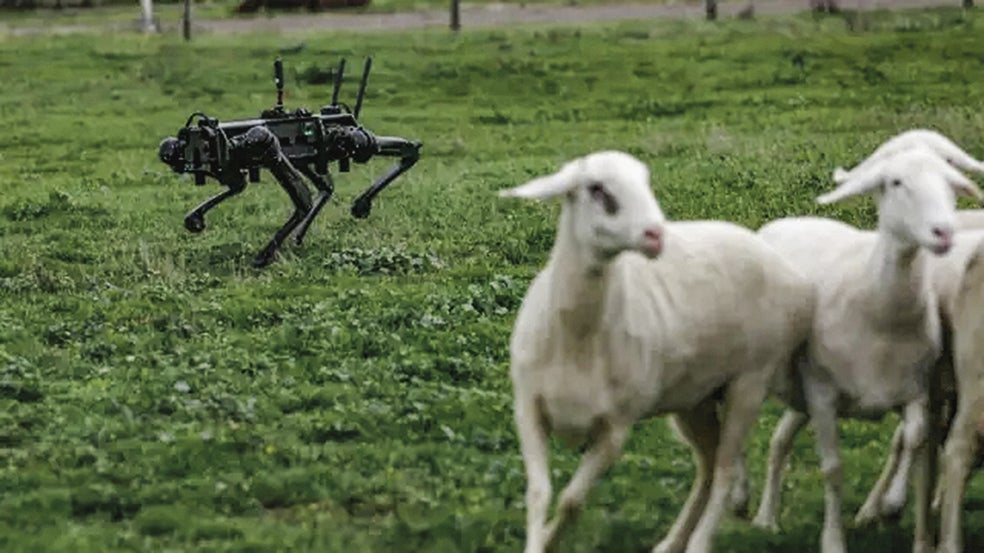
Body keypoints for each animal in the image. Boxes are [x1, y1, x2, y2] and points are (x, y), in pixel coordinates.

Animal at [497, 150, 815, 553]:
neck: (578, 340)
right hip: (696, 397)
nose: (656, 234)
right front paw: (541, 541)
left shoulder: (616, 429)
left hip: (751, 381)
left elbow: (572, 501)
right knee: (708, 465)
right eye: (596, 188)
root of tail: (795, 275)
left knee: (725, 471)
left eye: (645, 182)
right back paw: (671, 542)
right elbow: (540, 493)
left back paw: (698, 543)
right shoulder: (528, 410)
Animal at [746, 146, 983, 553]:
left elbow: (913, 439)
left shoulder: (918, 391)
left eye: (950, 182)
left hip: (801, 395)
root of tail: (780, 224)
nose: (943, 231)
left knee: (778, 439)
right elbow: (833, 468)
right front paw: (834, 539)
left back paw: (766, 517)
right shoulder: (823, 394)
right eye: (895, 181)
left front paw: (892, 504)